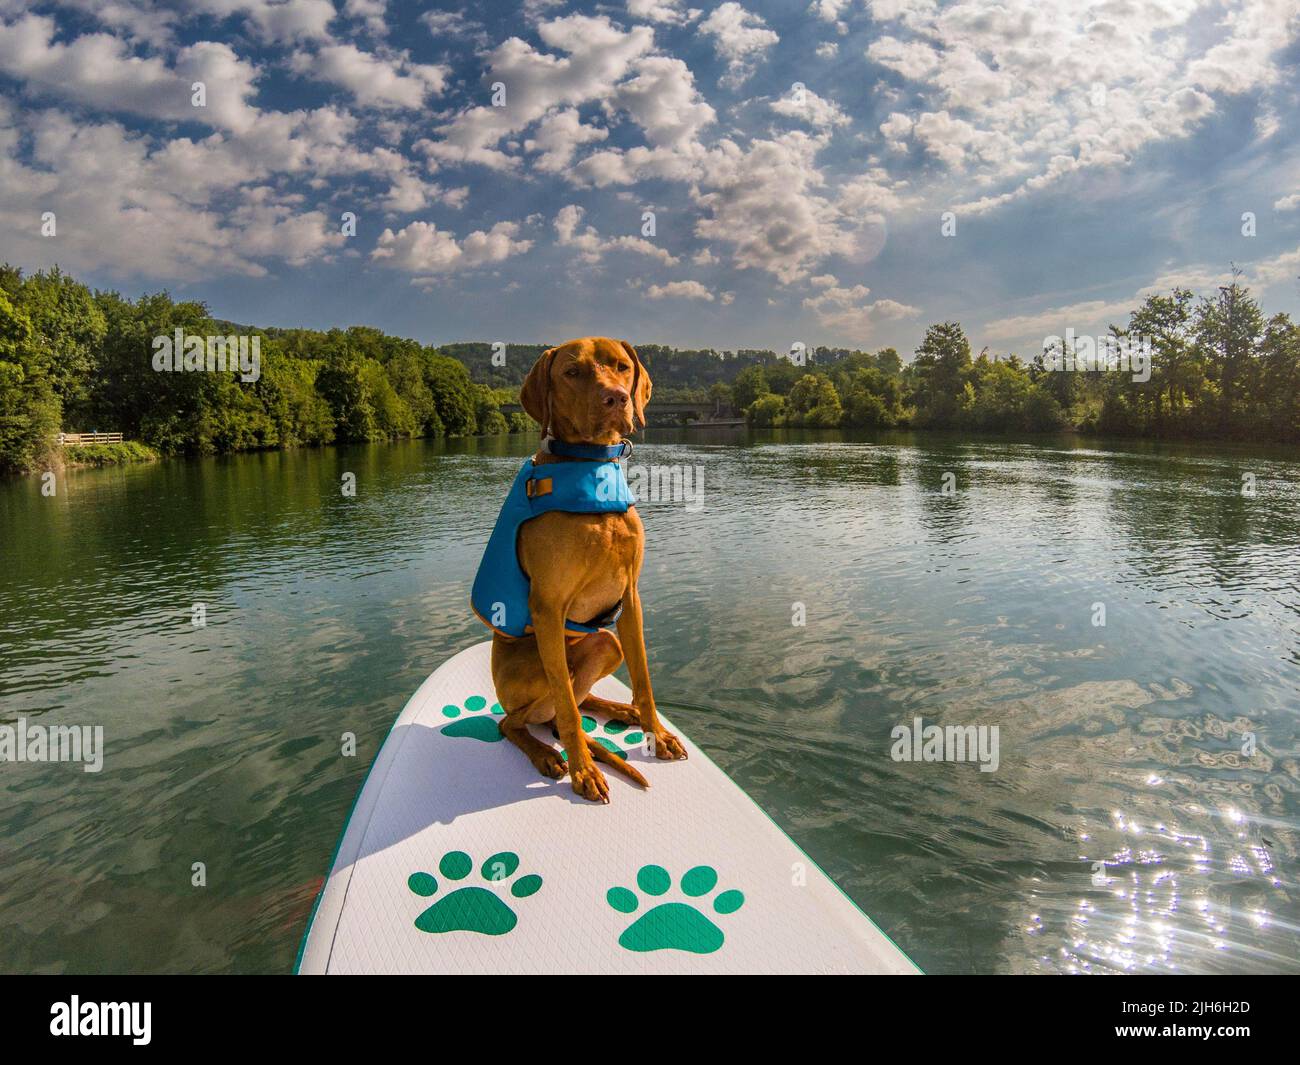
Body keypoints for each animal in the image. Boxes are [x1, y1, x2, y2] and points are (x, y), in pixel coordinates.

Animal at [473, 338, 686, 806]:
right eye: (572, 373)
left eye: (623, 368)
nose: (617, 398)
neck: (589, 465)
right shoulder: (549, 607)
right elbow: (567, 712)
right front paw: (583, 771)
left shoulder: (630, 598)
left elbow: (644, 681)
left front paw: (657, 734)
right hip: (530, 679)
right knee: (524, 718)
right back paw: (550, 754)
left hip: (607, 644)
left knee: (577, 697)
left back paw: (618, 709)